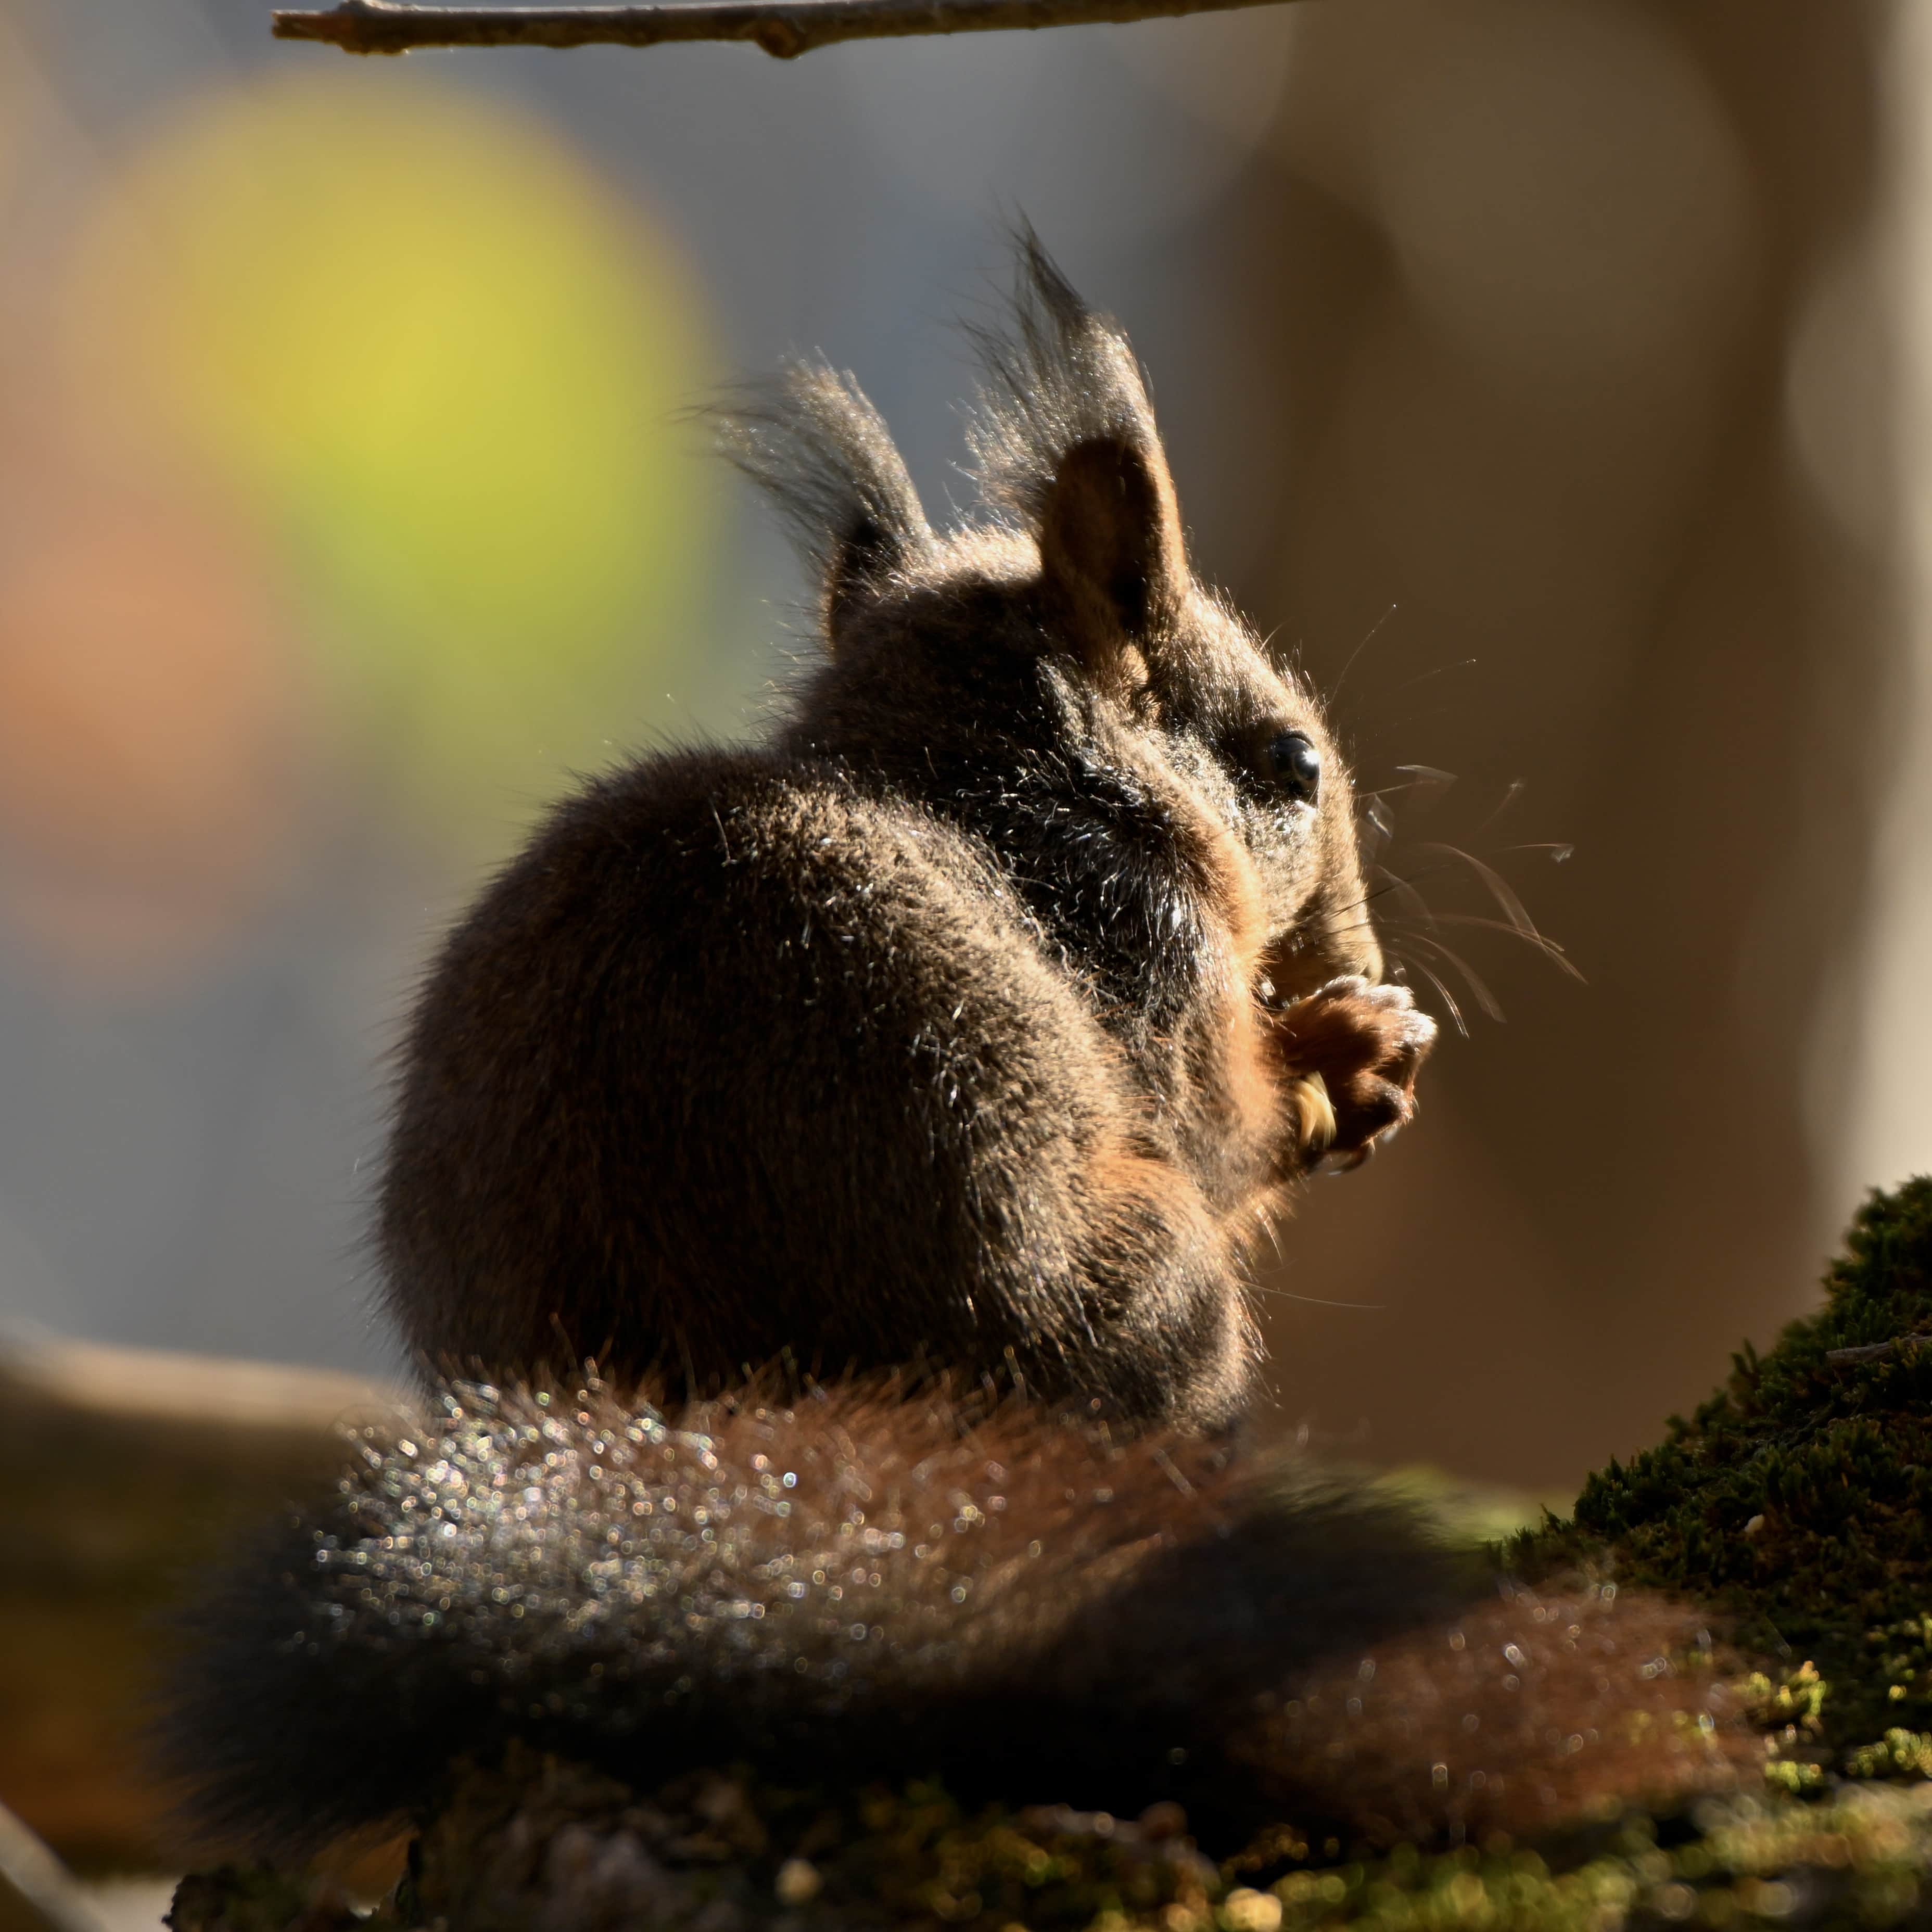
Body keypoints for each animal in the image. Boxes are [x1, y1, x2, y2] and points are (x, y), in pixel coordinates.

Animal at [154, 237, 1754, 1870]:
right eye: (1292, 765)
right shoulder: (1145, 936)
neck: (989, 763)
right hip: (1148, 1302)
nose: (1349, 955)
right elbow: (1223, 1128)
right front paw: (1341, 1058)